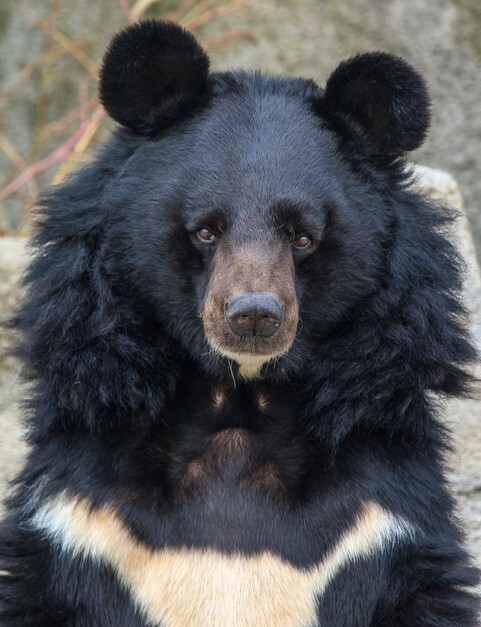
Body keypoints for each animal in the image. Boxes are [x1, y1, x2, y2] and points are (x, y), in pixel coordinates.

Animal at [0, 20, 480, 627]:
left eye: (303, 236)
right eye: (206, 230)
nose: (254, 316)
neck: (238, 399)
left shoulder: (381, 524)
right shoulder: (81, 524)